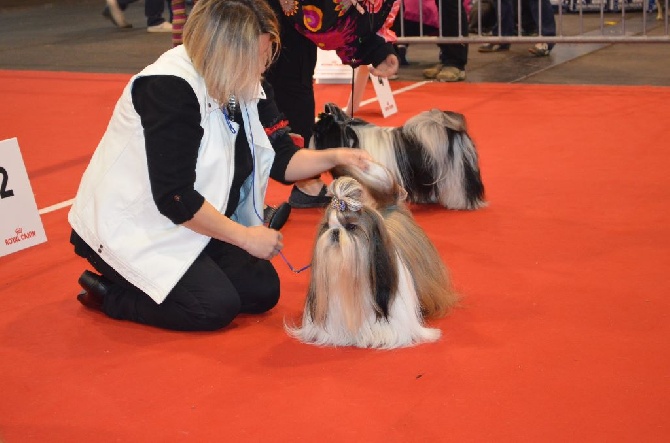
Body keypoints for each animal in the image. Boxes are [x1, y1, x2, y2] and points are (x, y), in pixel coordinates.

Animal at [310, 103, 488, 211]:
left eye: (318, 131)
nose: (309, 140)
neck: (351, 137)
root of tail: (453, 131)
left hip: (456, 173)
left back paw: (459, 204)